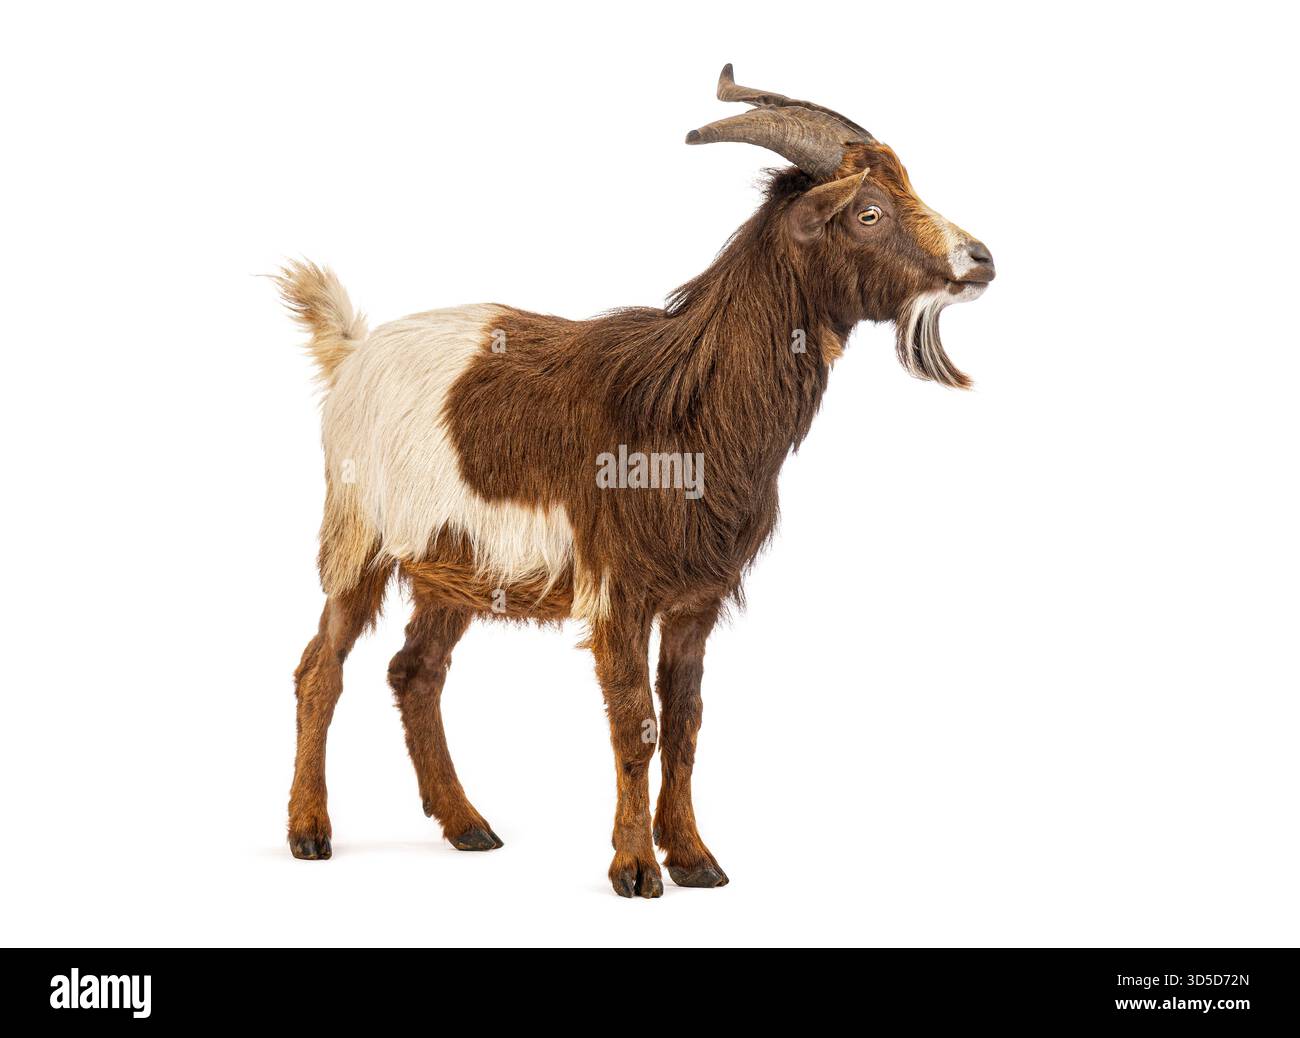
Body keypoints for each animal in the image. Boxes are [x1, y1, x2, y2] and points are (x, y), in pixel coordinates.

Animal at [275, 64, 995, 897]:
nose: (980, 260)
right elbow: (634, 722)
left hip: (455, 567)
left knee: (415, 672)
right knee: (320, 669)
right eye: (869, 212)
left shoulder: (695, 597)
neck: (687, 407)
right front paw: (635, 869)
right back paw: (310, 831)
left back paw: (467, 824)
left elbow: (684, 721)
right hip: (357, 536)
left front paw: (694, 857)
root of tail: (352, 352)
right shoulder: (618, 589)